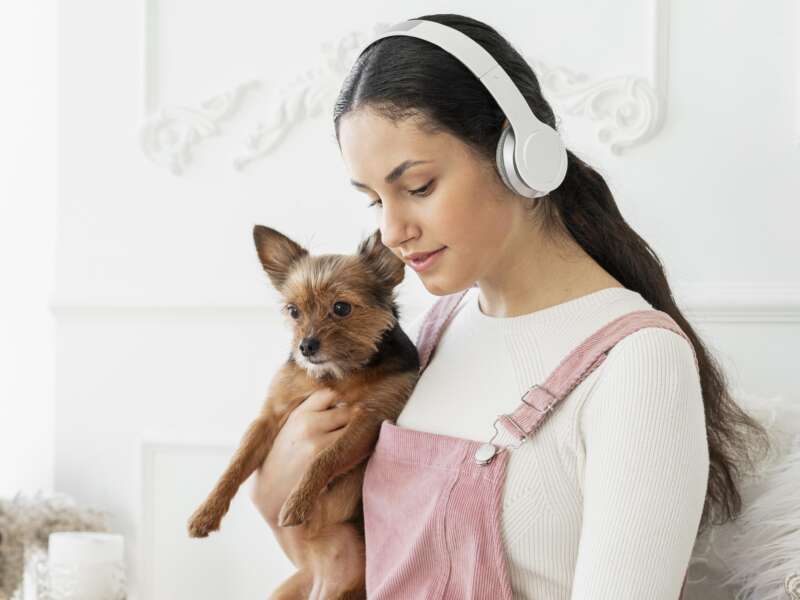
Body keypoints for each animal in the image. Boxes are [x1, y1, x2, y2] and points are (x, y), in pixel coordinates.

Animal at [188, 223, 422, 596]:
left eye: (341, 308)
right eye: (293, 311)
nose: (305, 347)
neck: (339, 374)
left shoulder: (370, 419)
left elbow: (326, 456)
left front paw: (297, 502)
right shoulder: (271, 415)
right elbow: (236, 463)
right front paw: (206, 512)